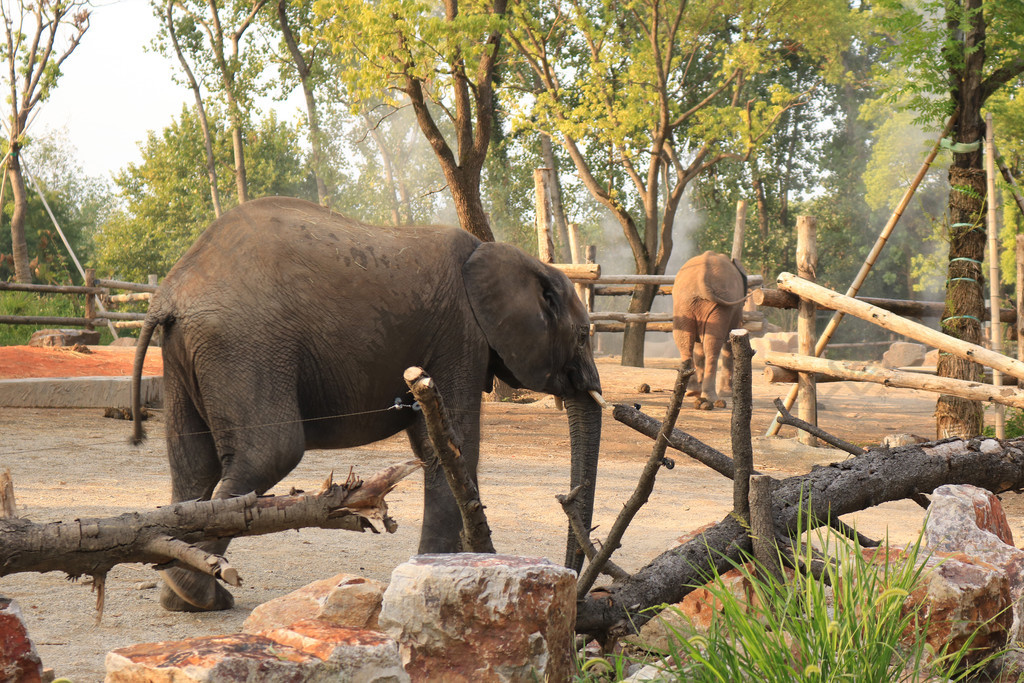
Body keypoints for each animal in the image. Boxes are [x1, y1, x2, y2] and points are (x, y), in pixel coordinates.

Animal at [132, 194, 602, 610]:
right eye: (583, 336)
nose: (577, 581)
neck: (517, 259)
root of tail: (171, 291)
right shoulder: (460, 335)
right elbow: (455, 445)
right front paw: (447, 569)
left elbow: (432, 443)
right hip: (244, 345)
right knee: (268, 453)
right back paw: (200, 591)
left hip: (186, 354)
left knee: (193, 464)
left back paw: (185, 596)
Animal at [667, 252, 749, 409]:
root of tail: (701, 279)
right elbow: (729, 341)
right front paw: (727, 394)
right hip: (719, 306)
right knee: (713, 345)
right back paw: (709, 397)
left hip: (685, 304)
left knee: (684, 339)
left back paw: (692, 392)